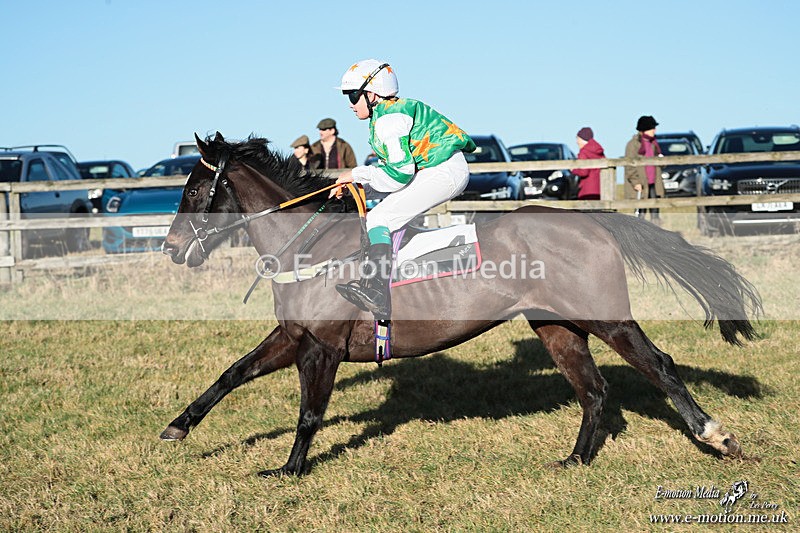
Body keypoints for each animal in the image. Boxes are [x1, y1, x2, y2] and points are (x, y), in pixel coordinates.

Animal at [159, 133, 761, 477]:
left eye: (191, 192)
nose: (169, 247)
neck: (309, 245)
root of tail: (592, 220)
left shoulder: (322, 348)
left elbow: (309, 413)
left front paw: (287, 469)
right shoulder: (293, 337)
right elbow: (231, 374)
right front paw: (177, 427)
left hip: (606, 317)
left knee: (658, 365)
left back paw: (716, 436)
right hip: (557, 327)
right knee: (593, 390)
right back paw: (575, 460)